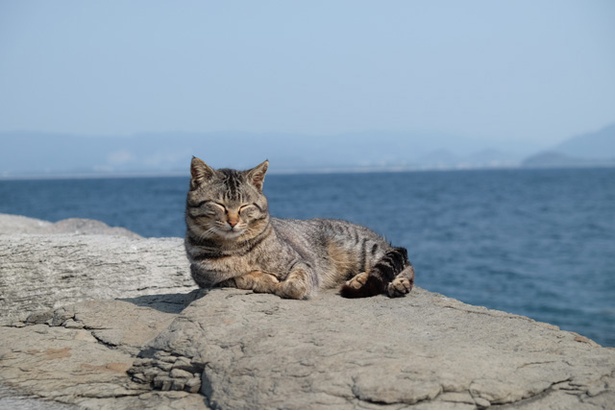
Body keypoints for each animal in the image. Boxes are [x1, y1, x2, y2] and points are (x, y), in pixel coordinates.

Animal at [183, 157, 414, 300]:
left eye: (244, 206)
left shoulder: (302, 262)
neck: (236, 246)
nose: (232, 222)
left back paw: (399, 282)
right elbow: (244, 276)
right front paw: (266, 280)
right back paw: (358, 280)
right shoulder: (208, 279)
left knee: (405, 262)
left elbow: (297, 282)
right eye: (219, 205)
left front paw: (283, 286)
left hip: (362, 249)